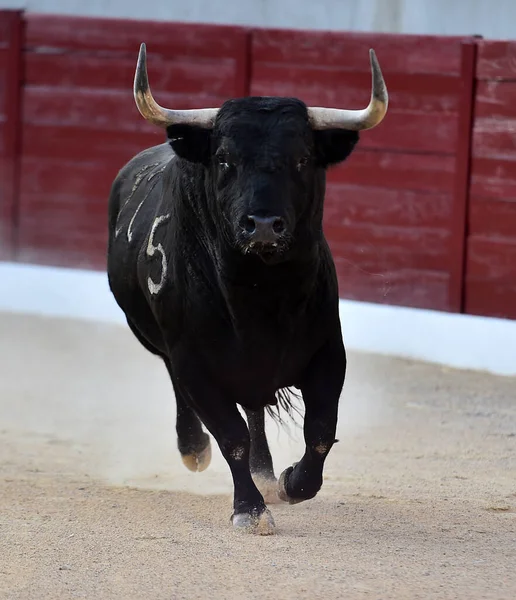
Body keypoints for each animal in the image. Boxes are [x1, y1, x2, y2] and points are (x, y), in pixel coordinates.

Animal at [107, 45, 388, 536]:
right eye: (223, 159)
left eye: (302, 158)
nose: (262, 225)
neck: (262, 294)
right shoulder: (195, 362)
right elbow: (230, 435)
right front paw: (250, 510)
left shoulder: (328, 353)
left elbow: (319, 431)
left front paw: (291, 481)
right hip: (158, 341)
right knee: (186, 394)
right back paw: (193, 449)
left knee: (255, 410)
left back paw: (266, 471)